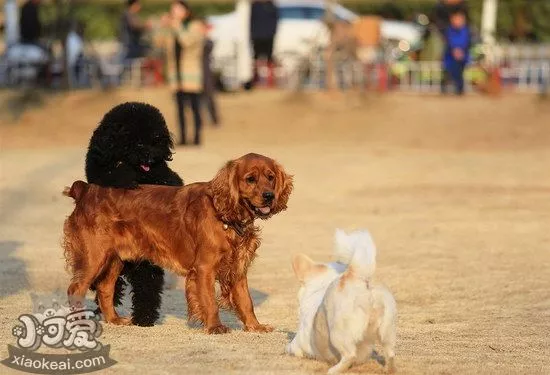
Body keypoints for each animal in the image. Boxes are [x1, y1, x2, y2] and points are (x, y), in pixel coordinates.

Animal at [286, 229, 398, 374]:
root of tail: (357, 276)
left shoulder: (297, 343)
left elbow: (290, 347)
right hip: (387, 331)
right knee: (390, 353)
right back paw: (389, 369)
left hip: (338, 333)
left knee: (350, 355)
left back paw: (334, 370)